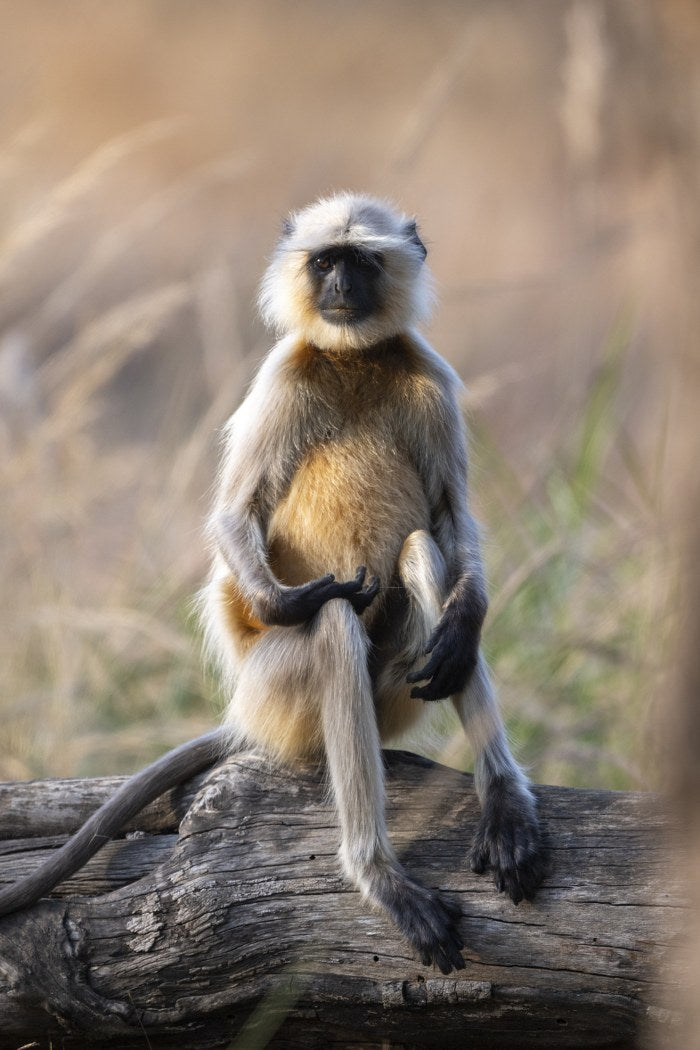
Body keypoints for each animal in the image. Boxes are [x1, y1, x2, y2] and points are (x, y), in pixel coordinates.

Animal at [0, 194, 545, 975]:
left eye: (361, 261)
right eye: (325, 261)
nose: (340, 287)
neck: (352, 358)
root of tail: (246, 716)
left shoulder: (430, 378)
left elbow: (452, 524)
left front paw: (468, 616)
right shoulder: (282, 377)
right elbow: (235, 516)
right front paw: (294, 598)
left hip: (396, 690)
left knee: (425, 564)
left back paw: (501, 802)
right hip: (280, 691)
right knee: (337, 624)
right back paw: (376, 874)